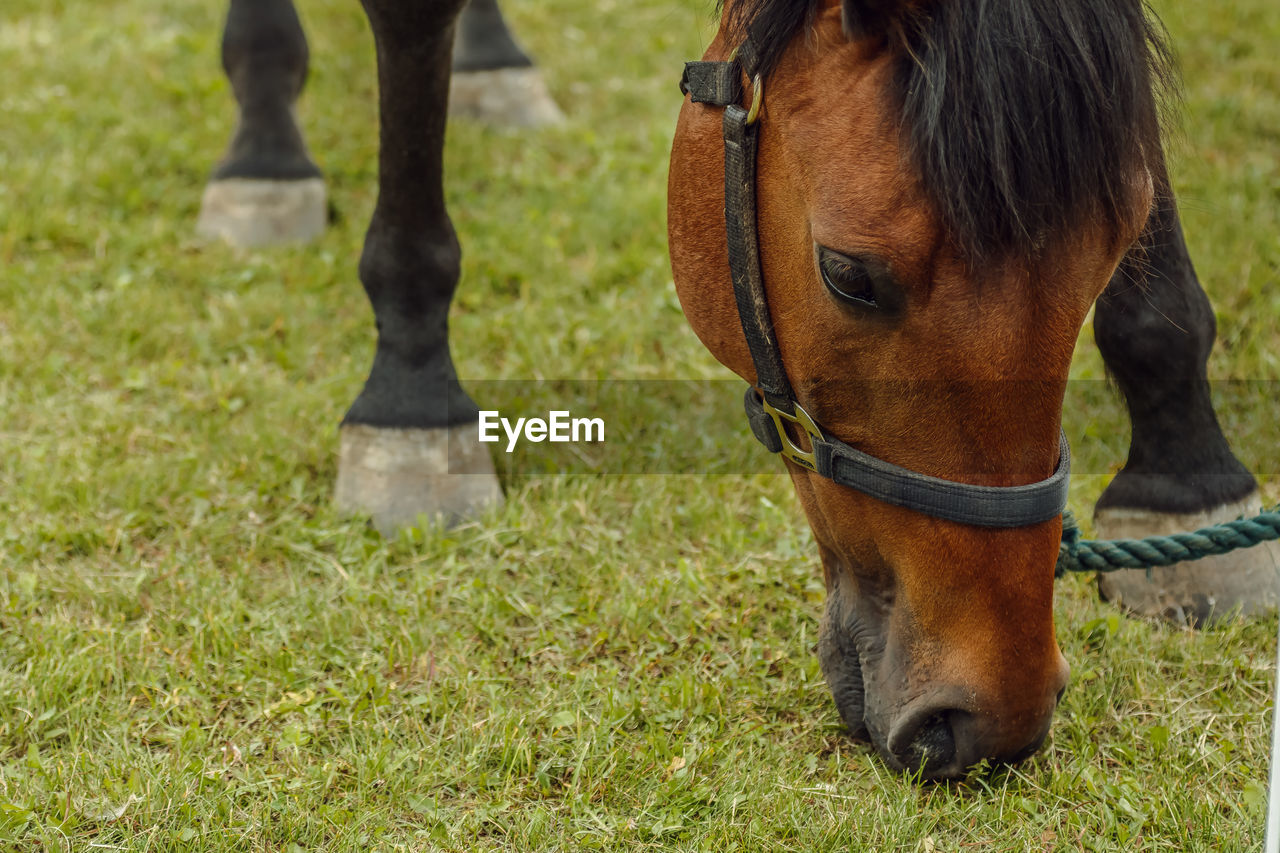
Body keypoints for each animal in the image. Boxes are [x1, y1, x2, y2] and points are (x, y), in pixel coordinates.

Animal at [197, 0, 1269, 778]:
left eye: (1119, 238)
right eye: (849, 274)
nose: (988, 716)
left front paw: (1187, 472)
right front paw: (414, 399)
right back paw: (265, 152)